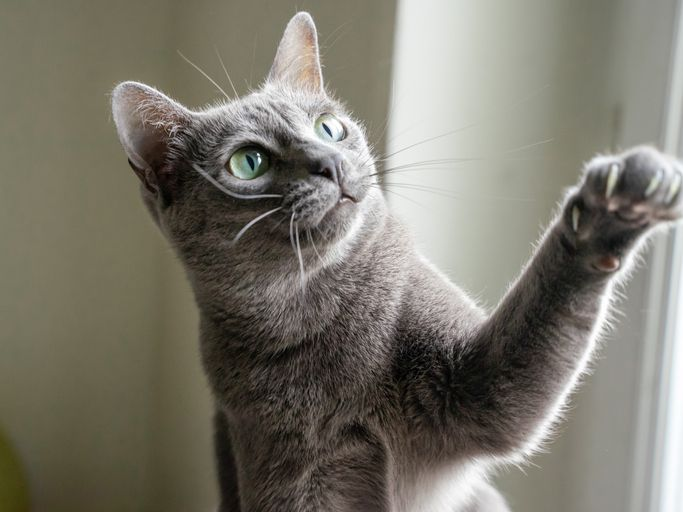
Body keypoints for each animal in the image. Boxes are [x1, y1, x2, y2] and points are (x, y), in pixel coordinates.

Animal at [111, 12, 683, 512]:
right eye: (248, 162)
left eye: (329, 127)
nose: (329, 162)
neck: (319, 314)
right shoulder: (285, 474)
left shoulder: (474, 390)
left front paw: (617, 204)